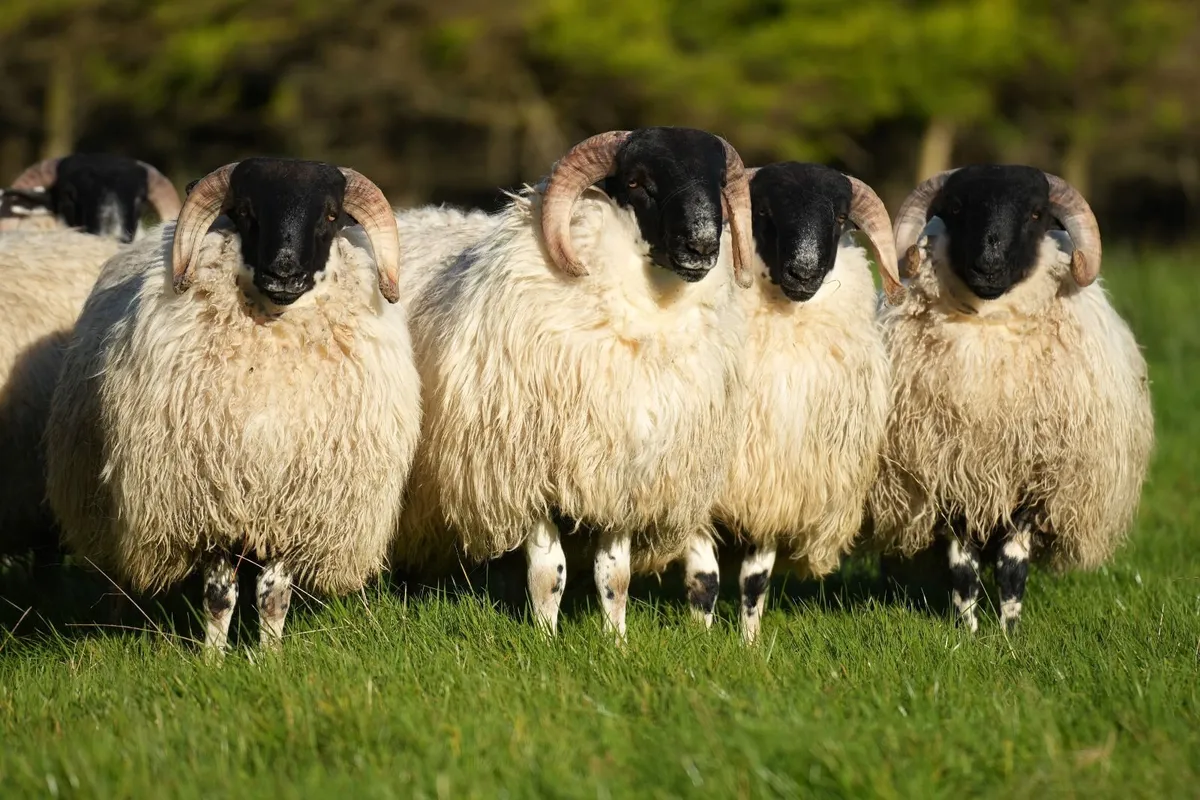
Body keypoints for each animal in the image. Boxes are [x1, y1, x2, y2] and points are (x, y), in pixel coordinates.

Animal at [45, 157, 422, 651]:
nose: (284, 273)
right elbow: (219, 596)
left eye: (331, 215)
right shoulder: (211, 500)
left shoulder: (290, 503)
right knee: (116, 575)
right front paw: (213, 657)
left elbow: (273, 595)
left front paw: (269, 656)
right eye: (244, 212)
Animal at [392, 127, 756, 639]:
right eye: (637, 182)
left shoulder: (620, 474)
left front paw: (616, 641)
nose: (703, 245)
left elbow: (615, 576)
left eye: (718, 183)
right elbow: (548, 575)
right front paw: (546, 640)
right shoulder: (527, 471)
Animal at [679, 162, 901, 643]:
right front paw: (700, 642)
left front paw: (748, 644)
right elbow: (705, 577)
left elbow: (755, 580)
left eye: (841, 218)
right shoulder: (701, 482)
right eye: (763, 211)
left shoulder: (773, 483)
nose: (804, 272)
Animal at [867, 165, 1154, 633]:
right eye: (956, 208)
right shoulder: (951, 473)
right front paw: (967, 631)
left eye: (1036, 213)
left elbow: (1012, 563)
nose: (988, 265)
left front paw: (1008, 632)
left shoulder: (1033, 479)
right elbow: (962, 564)